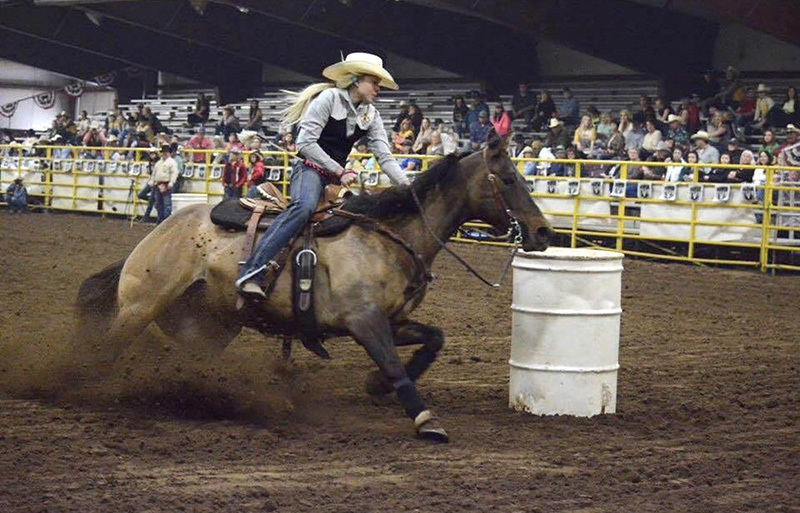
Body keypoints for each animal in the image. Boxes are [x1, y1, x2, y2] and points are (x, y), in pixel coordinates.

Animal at [76, 132, 552, 440]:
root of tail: (160, 232)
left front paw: (375, 387)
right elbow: (394, 364)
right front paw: (424, 419)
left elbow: (434, 339)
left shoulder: (392, 320)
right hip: (141, 306)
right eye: (510, 179)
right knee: (106, 348)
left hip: (209, 325)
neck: (390, 237)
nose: (544, 232)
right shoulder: (364, 321)